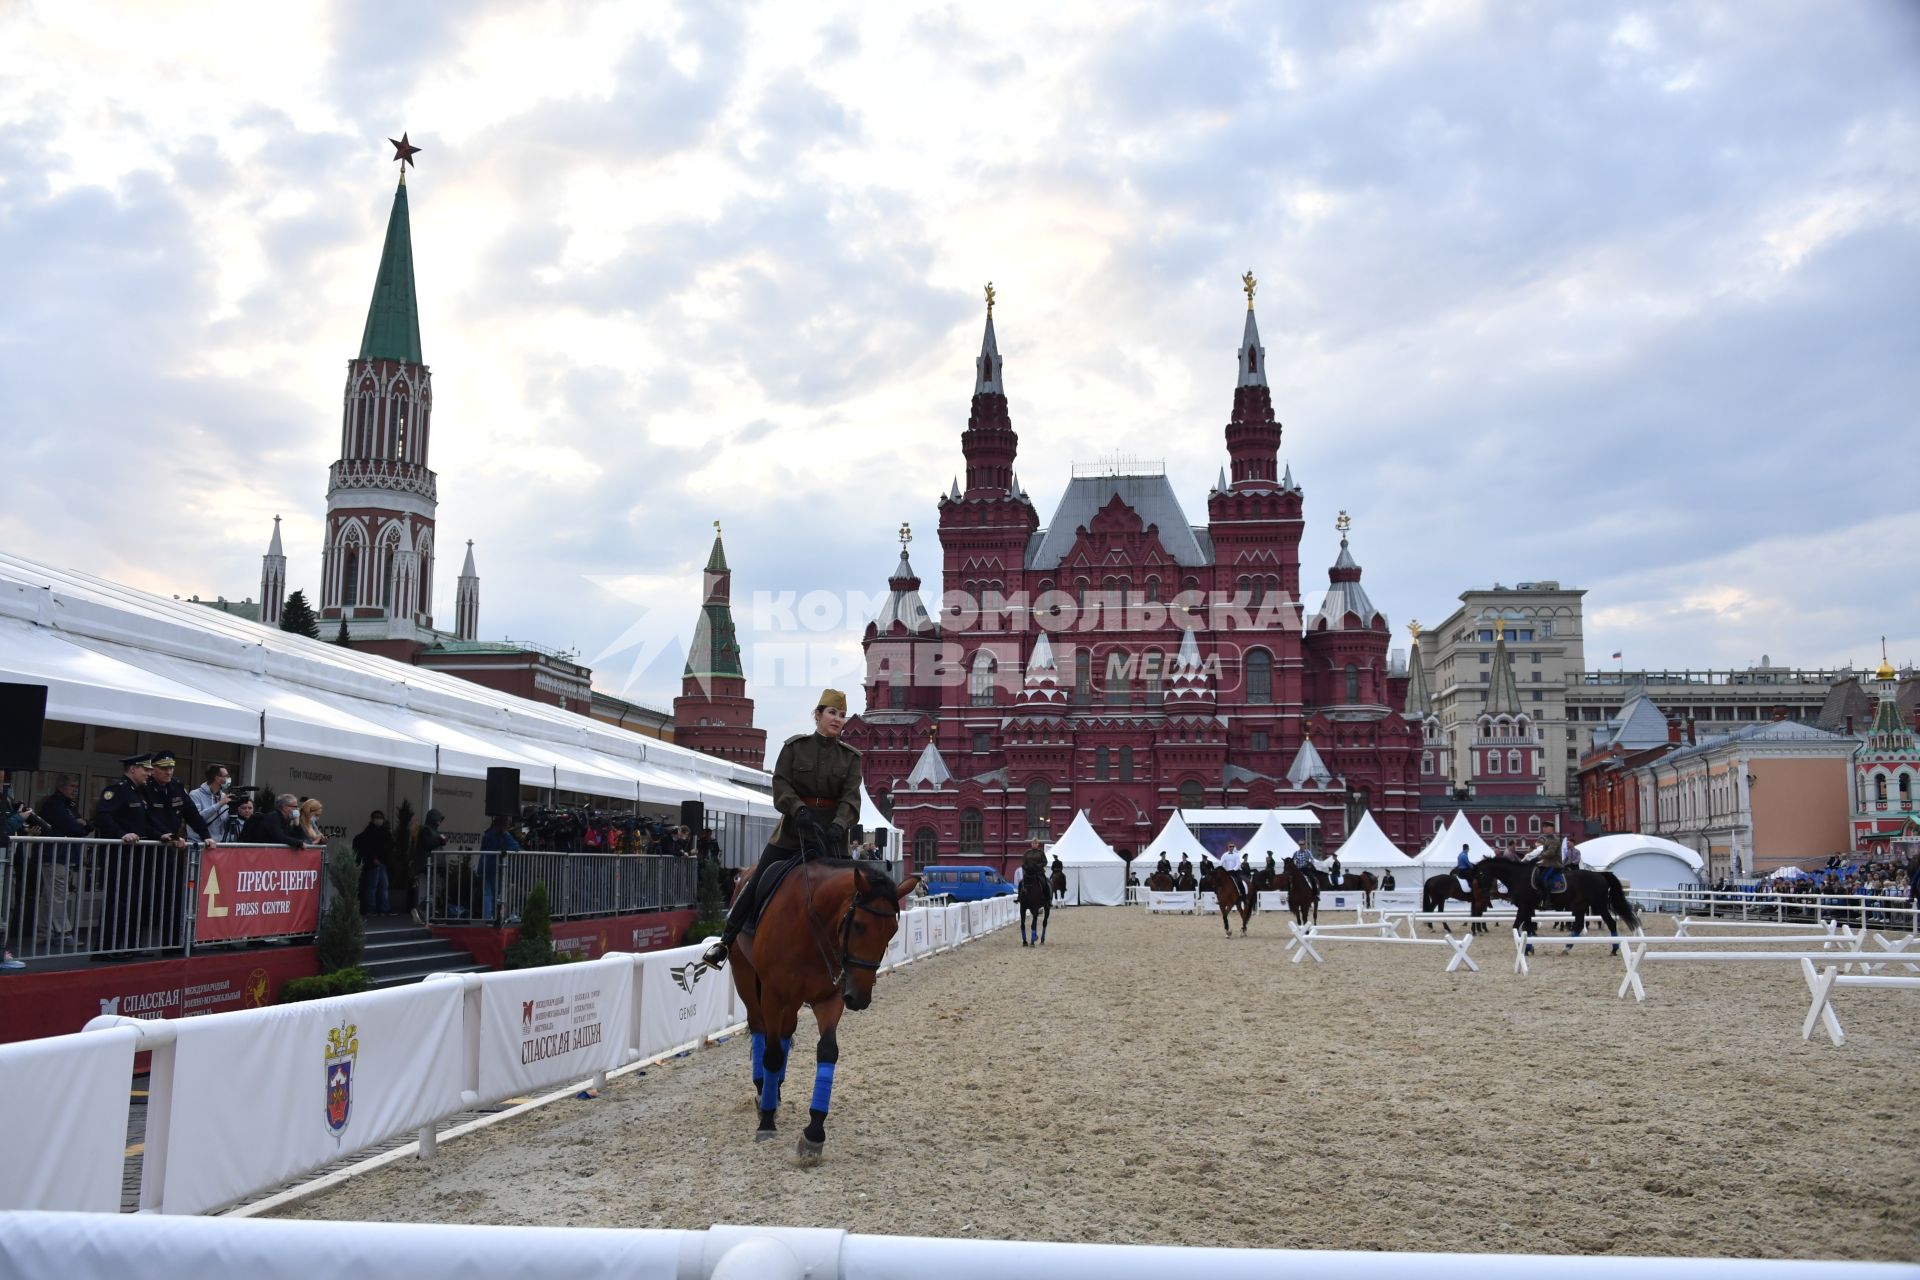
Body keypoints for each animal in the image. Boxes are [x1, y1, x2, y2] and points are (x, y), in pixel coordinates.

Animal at [725, 855, 921, 1166]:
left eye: (892, 930)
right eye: (859, 925)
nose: (860, 997)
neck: (810, 923)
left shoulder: (831, 997)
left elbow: (827, 1051)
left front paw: (814, 1133)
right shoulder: (773, 994)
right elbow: (771, 1055)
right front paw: (767, 1121)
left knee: (785, 1032)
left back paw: (775, 1090)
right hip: (744, 974)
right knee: (760, 1028)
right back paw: (762, 1090)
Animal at [1466, 855, 1635, 955]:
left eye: (1480, 874)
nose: (1482, 895)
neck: (1518, 876)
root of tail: (1600, 875)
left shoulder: (1525, 906)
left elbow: (1518, 926)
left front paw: (1526, 949)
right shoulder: (1527, 908)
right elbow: (1527, 927)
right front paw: (1529, 948)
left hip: (1598, 905)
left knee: (1611, 923)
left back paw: (1614, 949)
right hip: (1580, 906)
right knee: (1578, 926)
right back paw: (1566, 948)